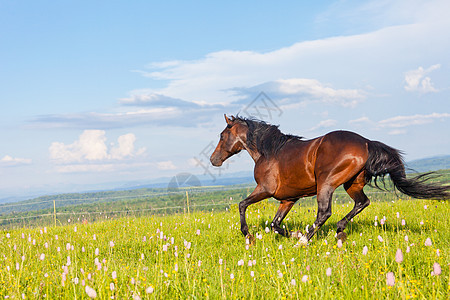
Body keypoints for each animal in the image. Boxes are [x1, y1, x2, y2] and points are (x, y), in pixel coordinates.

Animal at [209, 115, 448, 244]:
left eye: (222, 135)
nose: (213, 160)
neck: (269, 152)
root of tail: (366, 142)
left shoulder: (265, 189)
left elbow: (242, 205)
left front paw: (248, 235)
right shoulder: (288, 199)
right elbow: (276, 224)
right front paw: (294, 233)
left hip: (326, 183)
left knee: (324, 212)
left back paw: (304, 241)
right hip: (352, 184)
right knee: (362, 202)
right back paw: (339, 231)